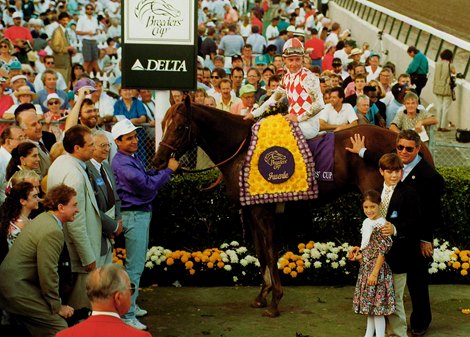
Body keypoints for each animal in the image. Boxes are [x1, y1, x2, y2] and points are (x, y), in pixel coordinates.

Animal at [153, 96, 434, 316]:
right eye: (163, 124)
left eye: (180, 126)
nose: (158, 161)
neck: (242, 150)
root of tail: (401, 139)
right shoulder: (251, 211)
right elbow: (260, 253)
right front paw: (262, 296)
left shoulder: (263, 212)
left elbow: (269, 252)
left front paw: (275, 301)